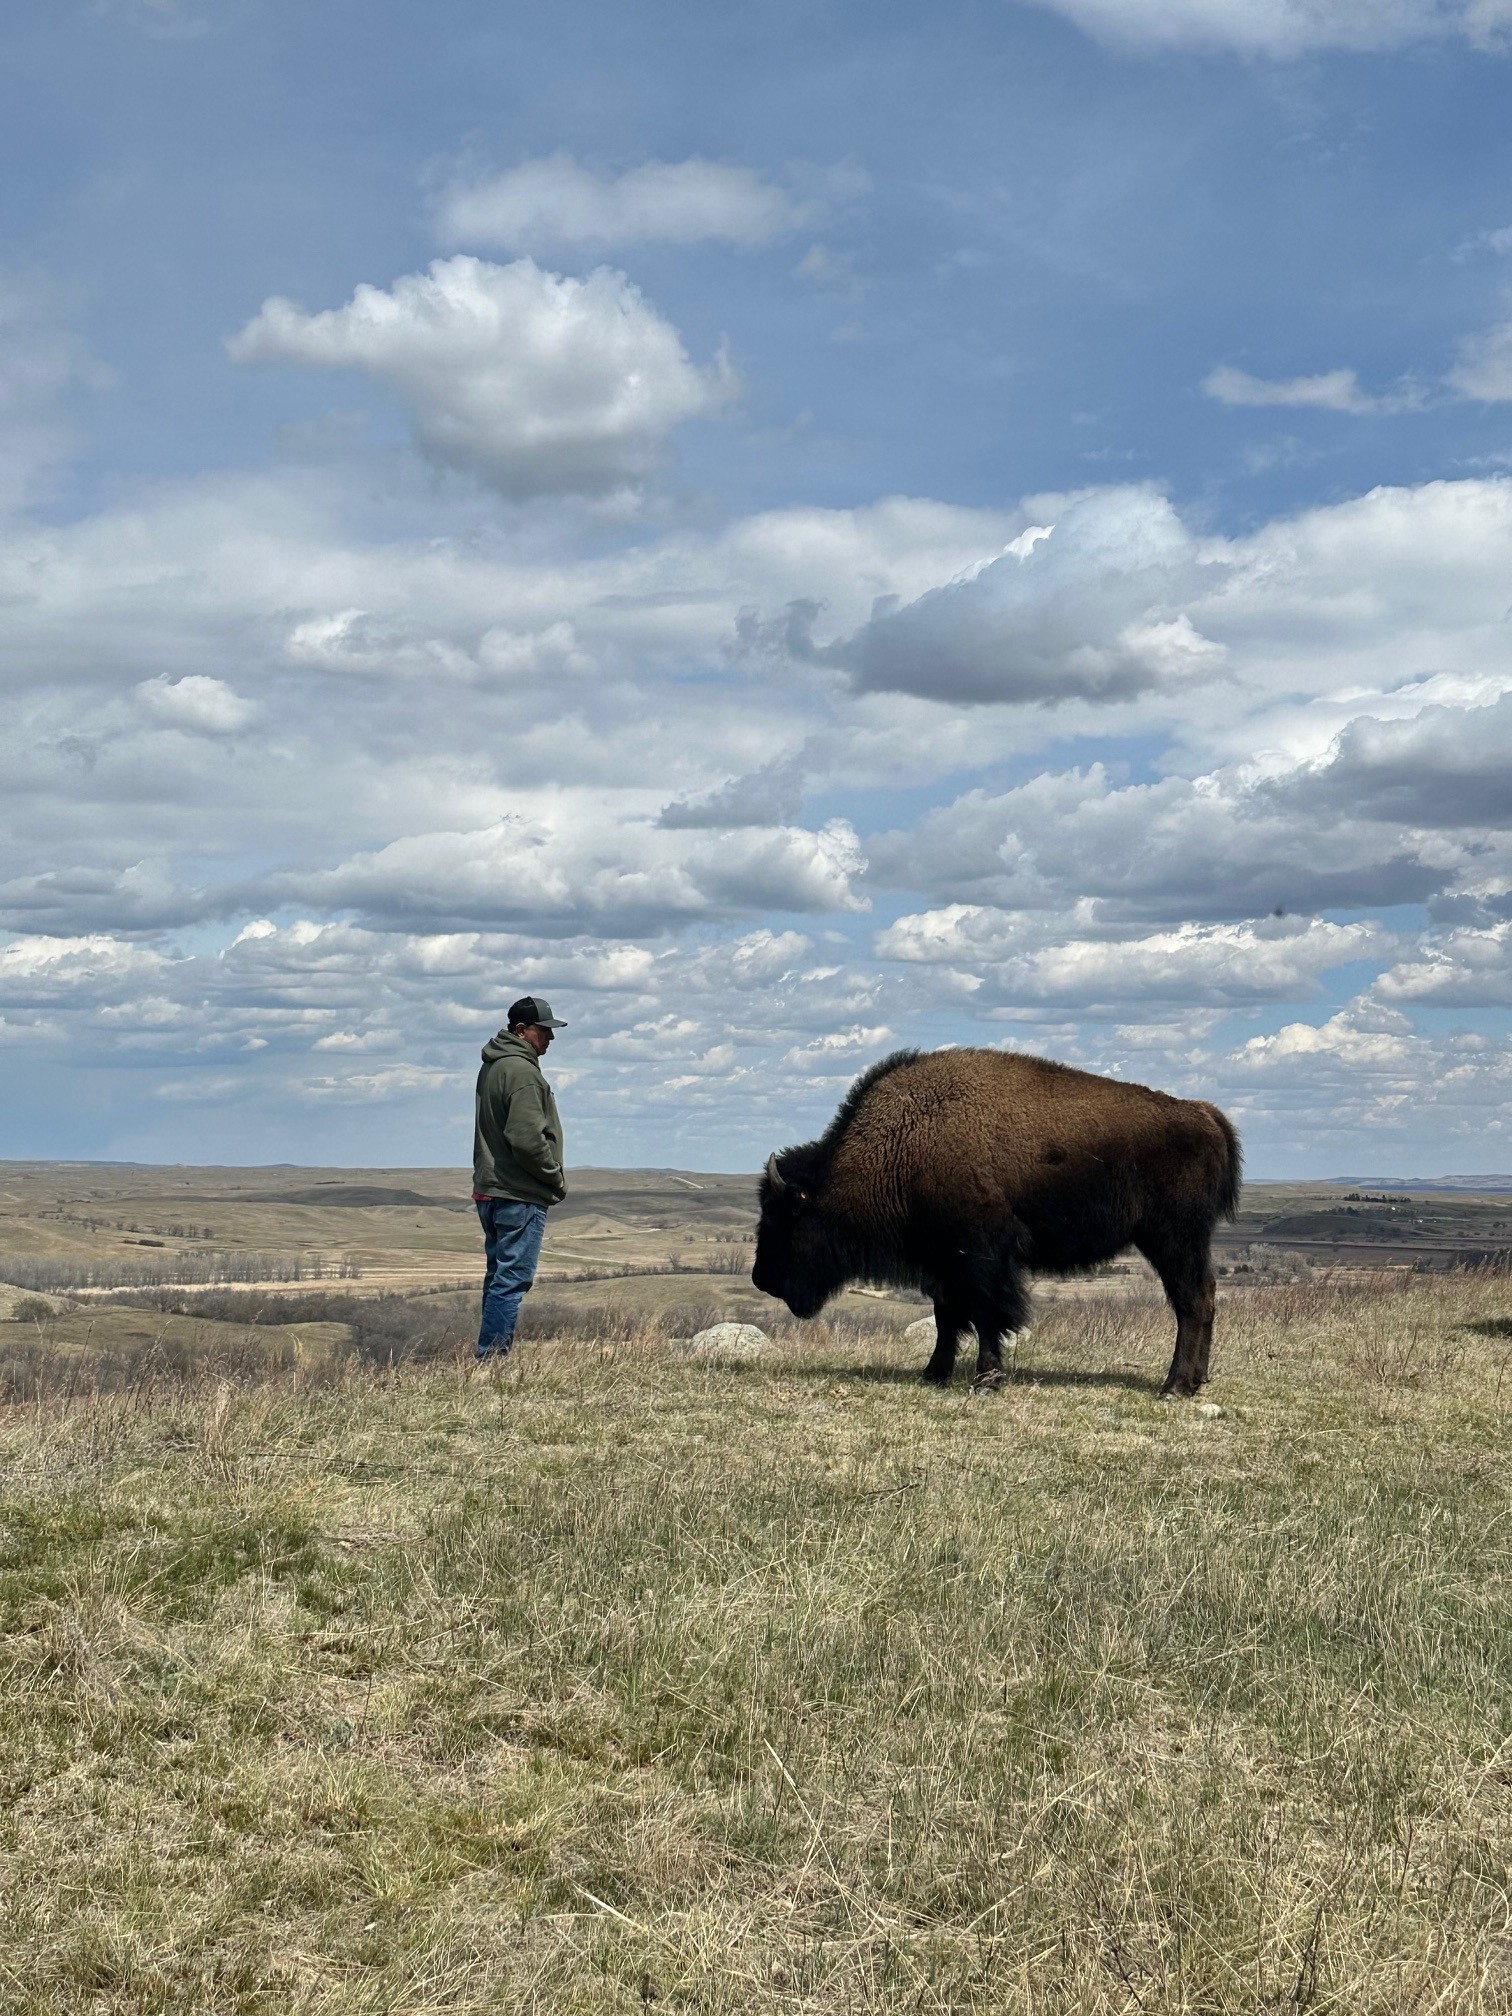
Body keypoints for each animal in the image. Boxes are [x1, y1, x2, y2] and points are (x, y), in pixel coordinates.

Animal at [752, 1047, 1241, 1396]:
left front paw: (985, 1381)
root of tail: (1205, 1114)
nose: (761, 1278)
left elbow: (987, 1315)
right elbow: (946, 1317)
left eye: (780, 1217)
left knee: (1191, 1301)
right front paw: (934, 1374)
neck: (897, 1146)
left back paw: (1174, 1387)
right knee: (1204, 1296)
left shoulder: (980, 1257)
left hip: (1172, 1239)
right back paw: (1195, 1382)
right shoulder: (942, 1262)